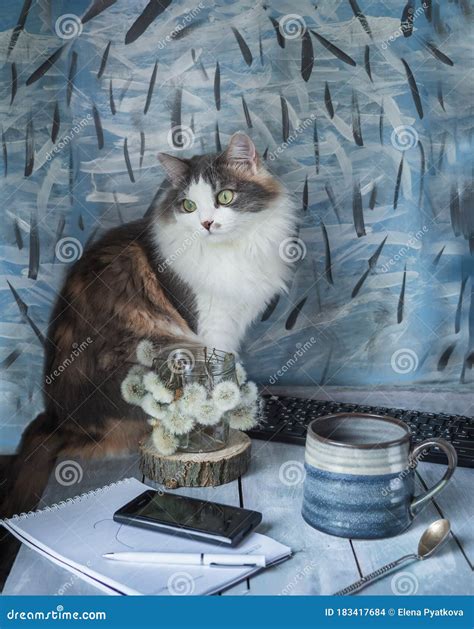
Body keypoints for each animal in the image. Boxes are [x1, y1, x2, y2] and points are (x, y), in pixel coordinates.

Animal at [0, 131, 296, 516]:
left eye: (225, 197)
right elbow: (215, 381)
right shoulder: (212, 328)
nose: (206, 224)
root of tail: (55, 419)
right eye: (188, 206)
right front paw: (215, 424)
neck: (229, 251)